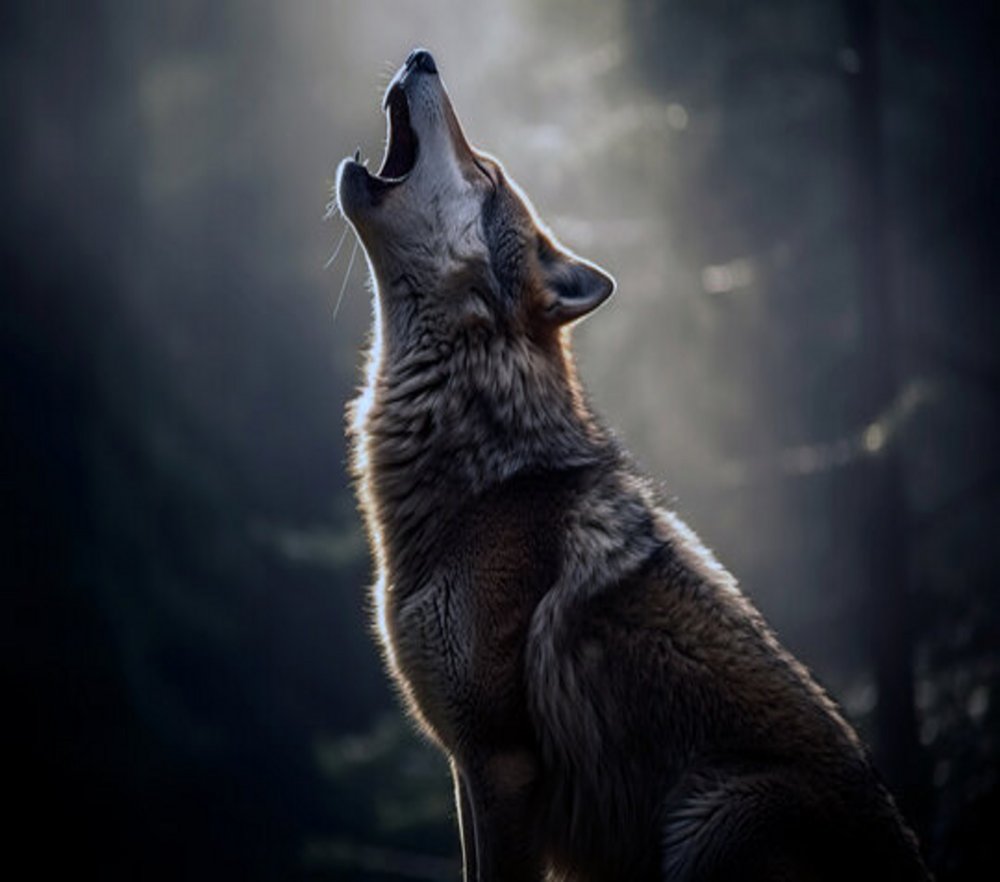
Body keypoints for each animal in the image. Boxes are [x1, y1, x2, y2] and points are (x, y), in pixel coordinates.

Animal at [335, 48, 930, 881]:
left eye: (486, 173)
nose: (424, 56)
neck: (482, 472)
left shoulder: (502, 763)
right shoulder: (466, 766)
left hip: (714, 812)